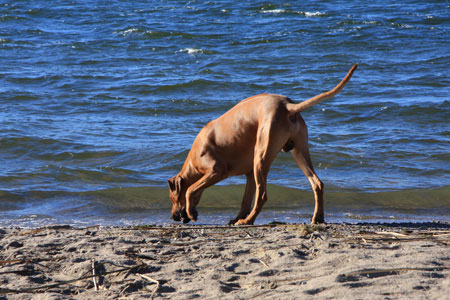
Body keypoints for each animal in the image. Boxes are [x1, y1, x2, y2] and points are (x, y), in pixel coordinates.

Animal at [167, 65, 356, 225]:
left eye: (172, 198)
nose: (173, 217)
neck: (193, 160)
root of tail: (288, 105)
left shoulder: (217, 170)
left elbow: (191, 189)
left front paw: (192, 212)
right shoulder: (250, 174)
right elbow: (245, 200)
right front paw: (236, 217)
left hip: (261, 156)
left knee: (263, 195)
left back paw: (248, 221)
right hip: (298, 152)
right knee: (317, 183)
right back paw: (317, 217)